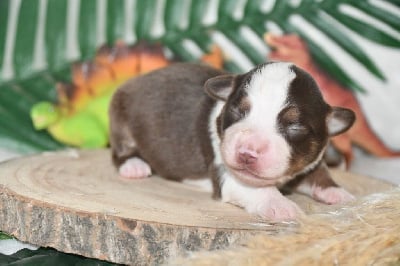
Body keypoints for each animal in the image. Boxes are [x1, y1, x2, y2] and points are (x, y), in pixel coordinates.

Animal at [110, 61, 356, 220]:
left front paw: (340, 194)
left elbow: (320, 174)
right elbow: (258, 190)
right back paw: (134, 166)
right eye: (238, 111)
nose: (247, 153)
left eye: (294, 126)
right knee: (120, 151)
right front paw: (281, 205)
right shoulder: (227, 173)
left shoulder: (310, 161)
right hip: (120, 115)